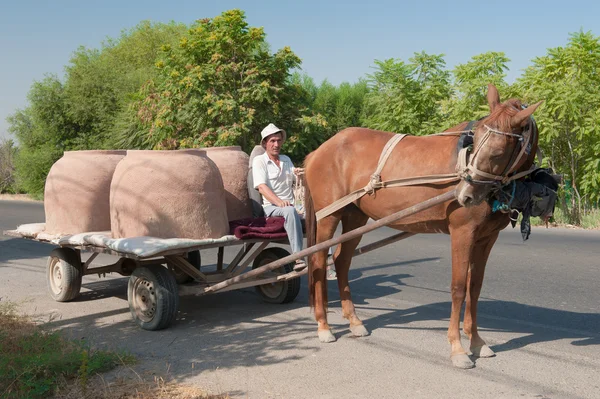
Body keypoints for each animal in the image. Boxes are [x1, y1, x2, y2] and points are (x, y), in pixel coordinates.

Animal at [302, 83, 540, 368]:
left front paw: (477, 342)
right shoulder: (462, 233)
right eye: (476, 142)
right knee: (318, 261)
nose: (464, 195)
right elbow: (459, 288)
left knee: (341, 261)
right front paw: (457, 347)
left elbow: (475, 288)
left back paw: (354, 321)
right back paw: (323, 325)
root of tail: (318, 151)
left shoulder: (486, 238)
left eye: (497, 152)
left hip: (355, 217)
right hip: (329, 216)